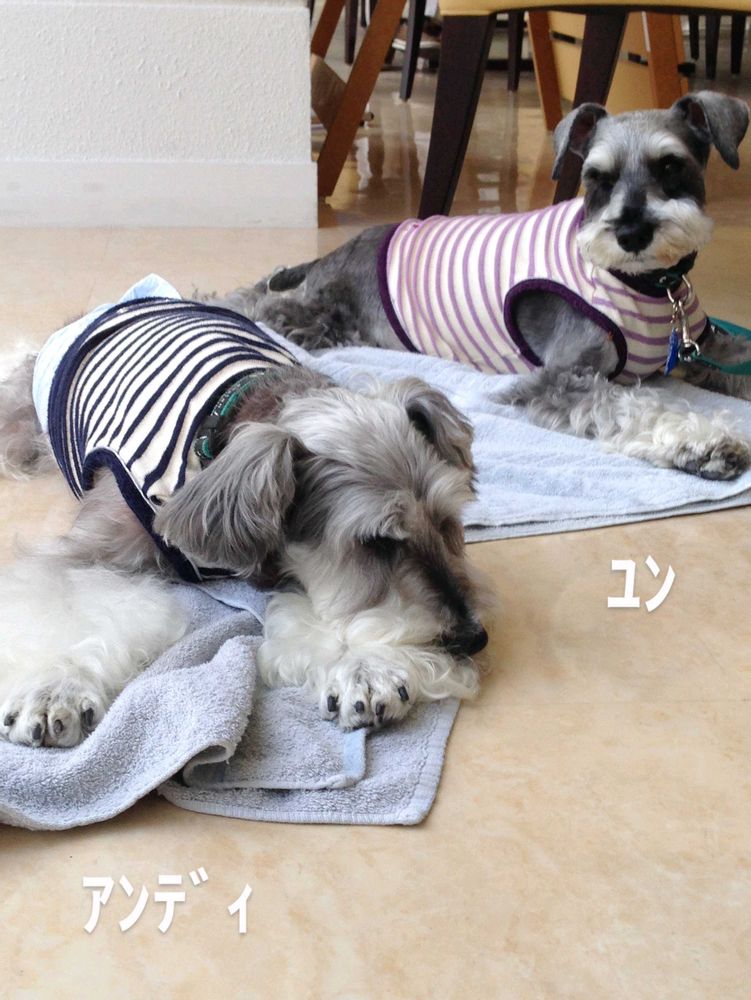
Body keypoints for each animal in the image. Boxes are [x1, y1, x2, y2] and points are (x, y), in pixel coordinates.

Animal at [0, 284, 489, 747]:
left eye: (447, 522)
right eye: (376, 542)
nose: (474, 637)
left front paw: (365, 667)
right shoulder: (87, 553)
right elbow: (68, 609)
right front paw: (53, 687)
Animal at [224, 91, 751, 482]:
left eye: (671, 166)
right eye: (597, 178)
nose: (632, 233)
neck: (650, 286)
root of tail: (343, 248)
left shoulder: (708, 346)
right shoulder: (561, 378)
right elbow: (632, 405)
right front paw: (702, 441)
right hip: (322, 317)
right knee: (267, 303)